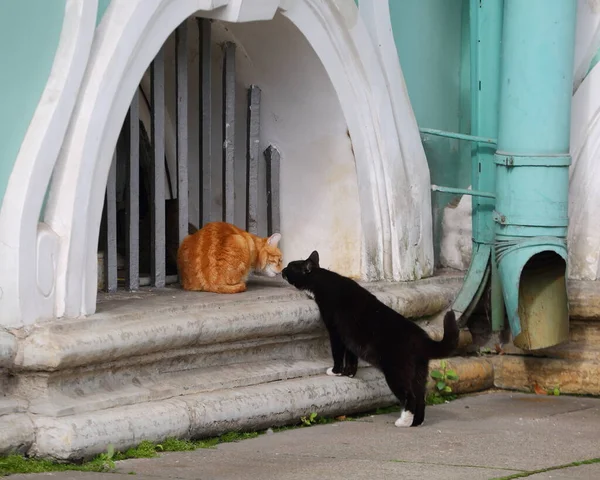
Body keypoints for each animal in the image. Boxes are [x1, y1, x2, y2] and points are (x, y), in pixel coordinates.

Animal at [282, 251, 460, 428]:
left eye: (290, 266)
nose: (282, 269)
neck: (322, 279)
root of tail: (422, 339)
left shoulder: (335, 332)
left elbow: (338, 353)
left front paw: (336, 371)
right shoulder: (350, 338)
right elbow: (351, 356)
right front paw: (349, 373)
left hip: (396, 371)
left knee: (410, 396)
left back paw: (403, 421)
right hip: (419, 373)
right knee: (421, 397)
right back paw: (416, 422)